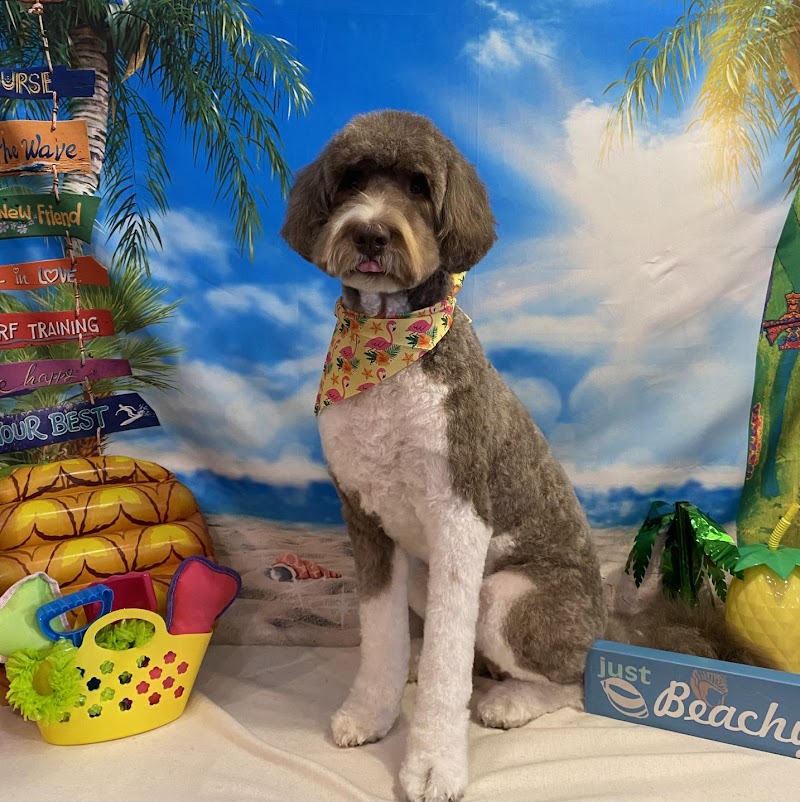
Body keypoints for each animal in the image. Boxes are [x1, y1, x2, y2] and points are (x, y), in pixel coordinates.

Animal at [280, 110, 767, 802]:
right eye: (350, 180)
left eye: (419, 187)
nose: (371, 232)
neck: (388, 355)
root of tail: (607, 620)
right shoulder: (364, 516)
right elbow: (379, 635)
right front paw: (373, 712)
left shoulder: (460, 517)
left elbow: (449, 661)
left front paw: (434, 763)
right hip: (426, 578)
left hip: (510, 599)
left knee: (573, 679)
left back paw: (511, 700)